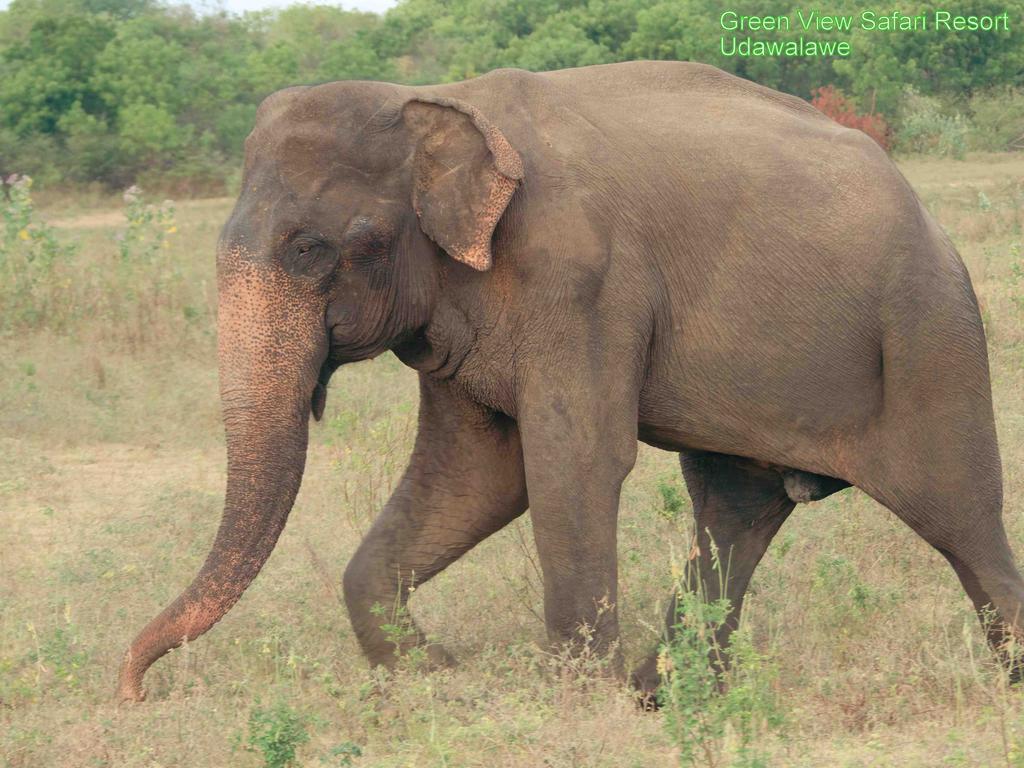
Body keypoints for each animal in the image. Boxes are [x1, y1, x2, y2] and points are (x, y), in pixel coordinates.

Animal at [117, 63, 1024, 708]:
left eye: (309, 250)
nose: (132, 689)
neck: (439, 102)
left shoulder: (582, 280)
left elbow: (571, 460)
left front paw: (570, 698)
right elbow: (476, 477)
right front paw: (439, 676)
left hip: (930, 334)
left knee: (958, 512)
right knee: (735, 513)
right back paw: (669, 698)